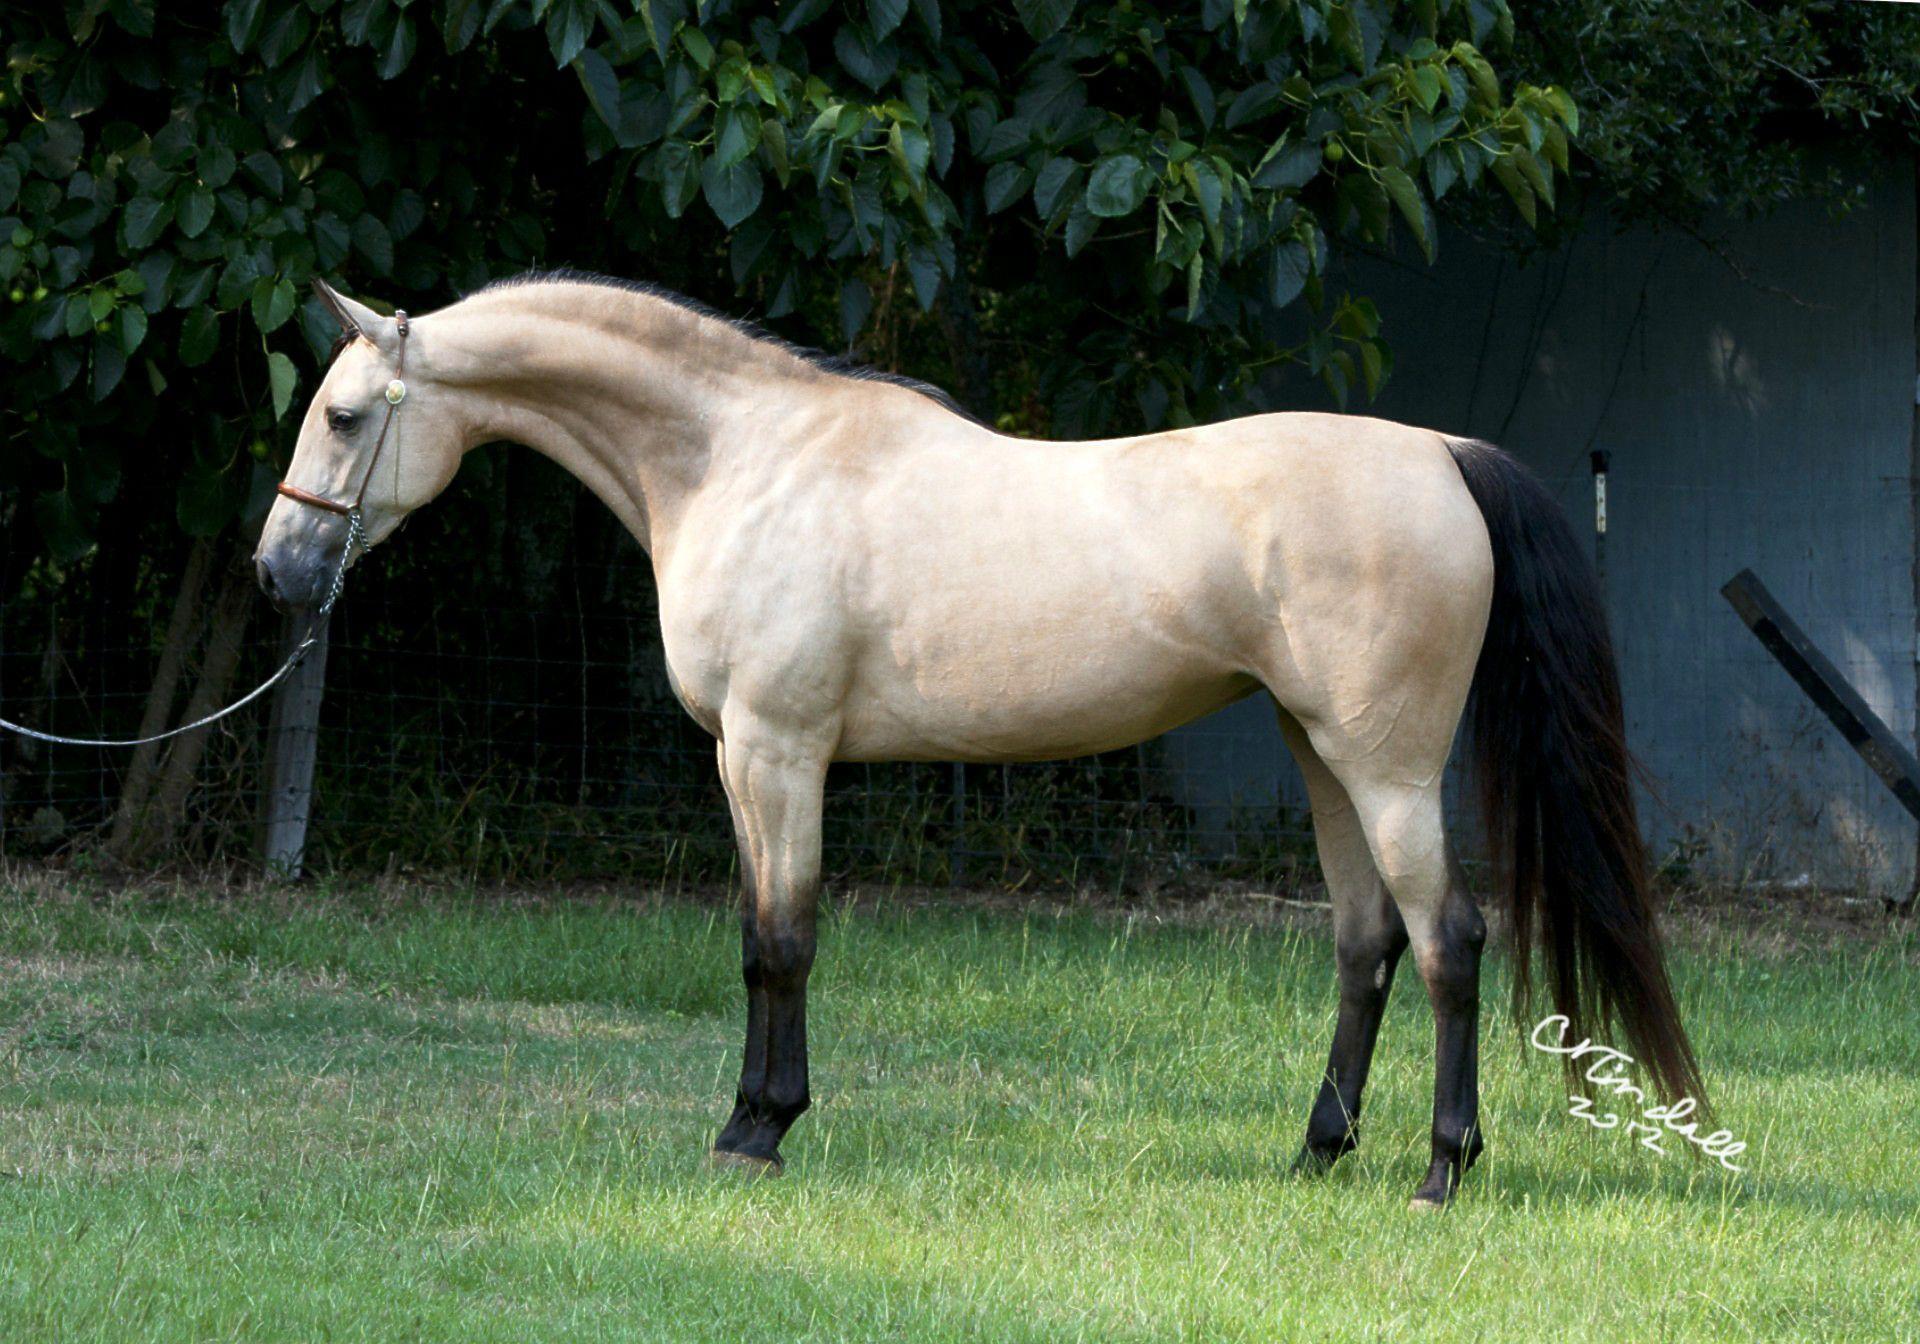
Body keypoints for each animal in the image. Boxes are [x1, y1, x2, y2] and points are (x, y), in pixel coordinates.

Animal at [251, 272, 1697, 1205]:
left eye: (344, 416)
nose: (277, 573)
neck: (742, 459)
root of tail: (1443, 453)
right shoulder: (746, 764)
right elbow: (759, 938)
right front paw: (754, 1120)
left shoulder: (774, 752)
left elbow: (781, 943)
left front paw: (757, 1134)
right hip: (1319, 752)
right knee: (1368, 943)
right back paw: (1315, 1152)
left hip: (1386, 767)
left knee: (1450, 939)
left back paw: (1442, 1169)